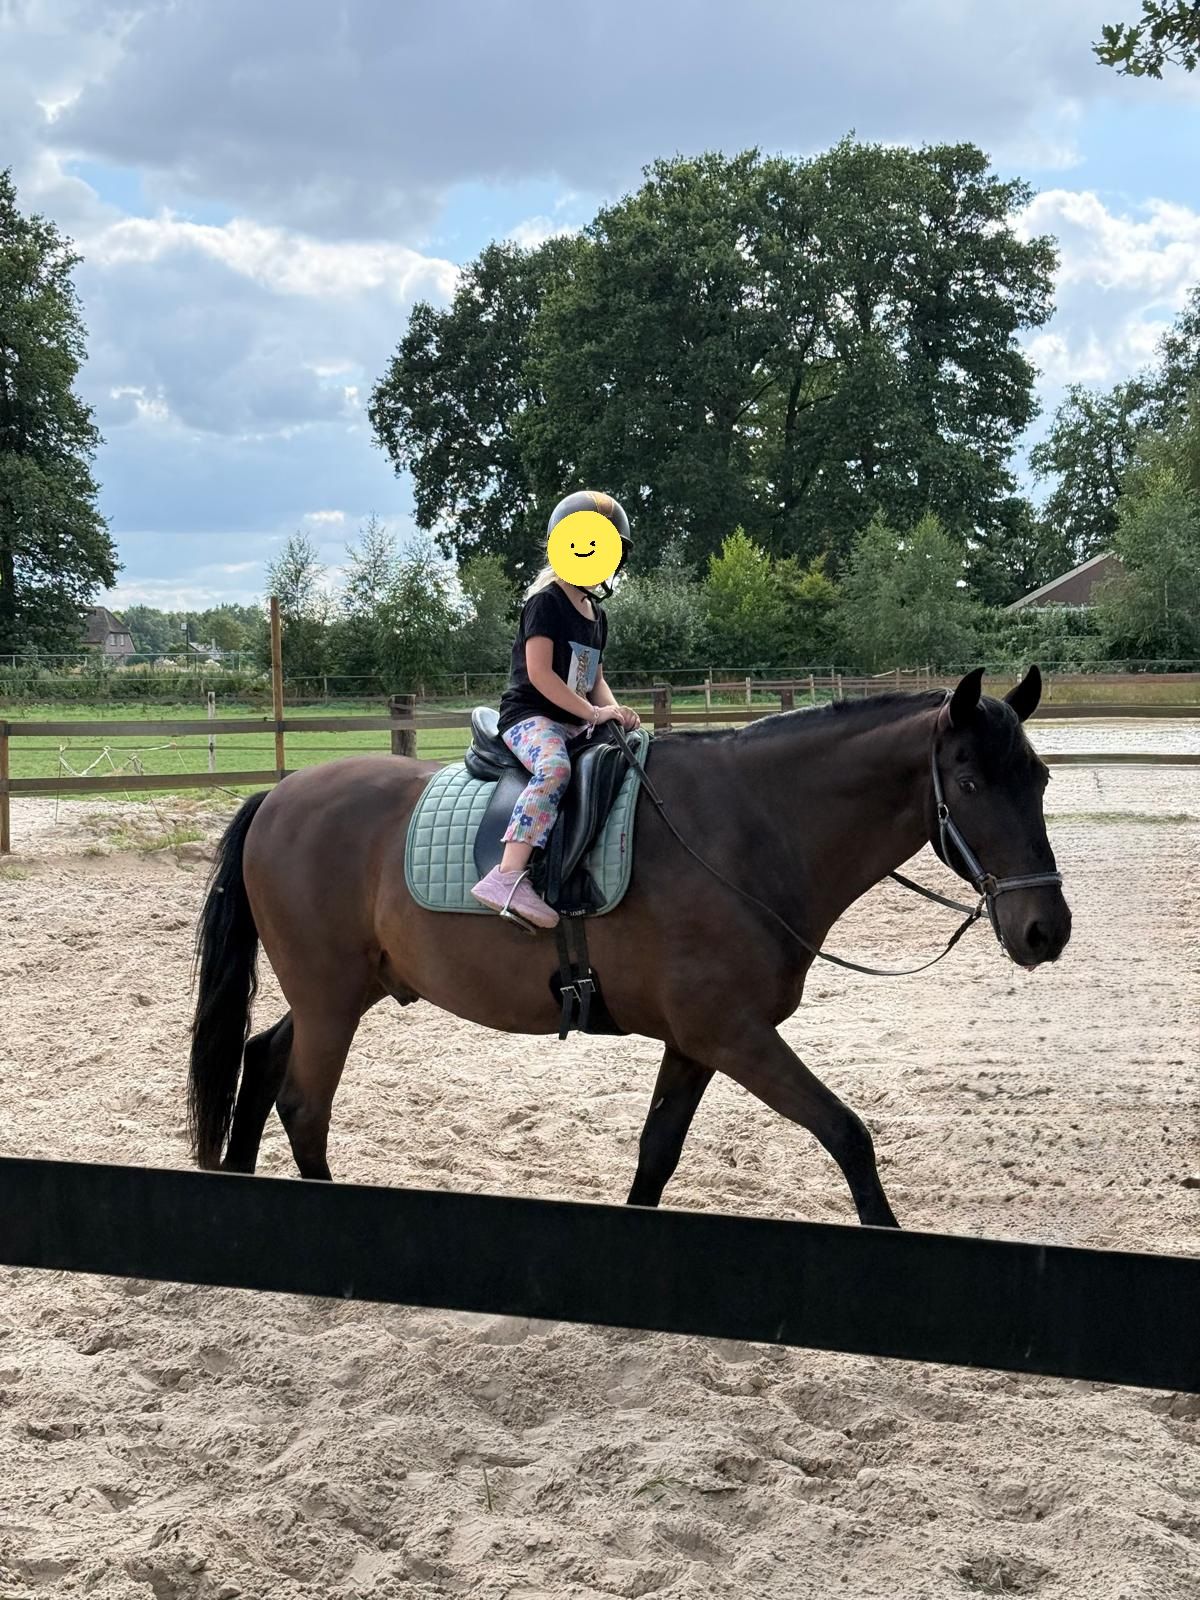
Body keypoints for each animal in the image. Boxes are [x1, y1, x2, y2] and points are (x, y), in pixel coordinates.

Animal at [187, 666, 1071, 1228]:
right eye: (970, 784)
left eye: (1040, 779)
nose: (1046, 930)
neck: (749, 830)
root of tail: (277, 796)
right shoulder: (735, 1035)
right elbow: (848, 1135)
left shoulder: (696, 1042)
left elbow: (657, 1153)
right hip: (330, 1000)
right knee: (305, 1106)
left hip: (340, 993)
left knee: (261, 1063)